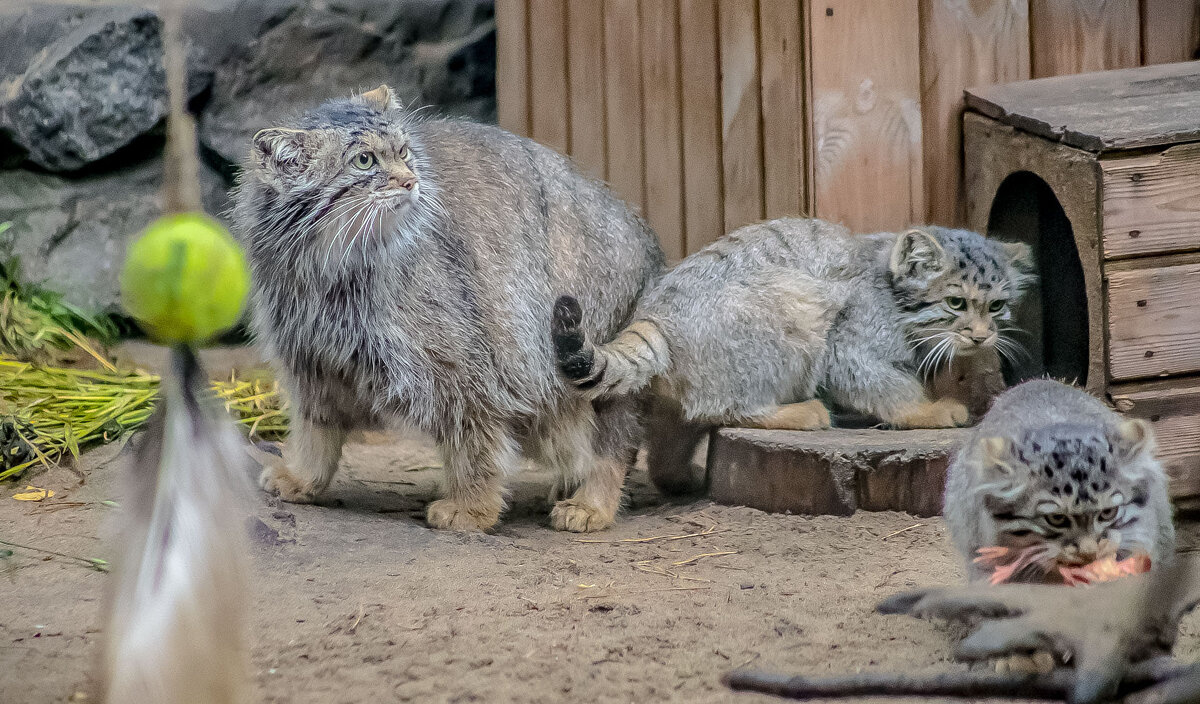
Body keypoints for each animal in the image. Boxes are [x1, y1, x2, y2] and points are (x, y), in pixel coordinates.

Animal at [231, 85, 667, 532]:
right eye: (364, 160)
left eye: (404, 152)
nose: (411, 181)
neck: (330, 271)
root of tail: (653, 253)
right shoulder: (310, 359)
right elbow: (314, 430)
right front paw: (303, 478)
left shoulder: (464, 364)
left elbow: (472, 438)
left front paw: (471, 507)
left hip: (586, 362)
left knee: (616, 442)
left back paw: (591, 503)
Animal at [552, 217, 1032, 494]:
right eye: (956, 303)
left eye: (995, 306)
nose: (982, 336)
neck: (891, 290)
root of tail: (656, 313)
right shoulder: (848, 345)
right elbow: (886, 386)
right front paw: (926, 411)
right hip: (796, 300)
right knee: (726, 406)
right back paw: (797, 412)